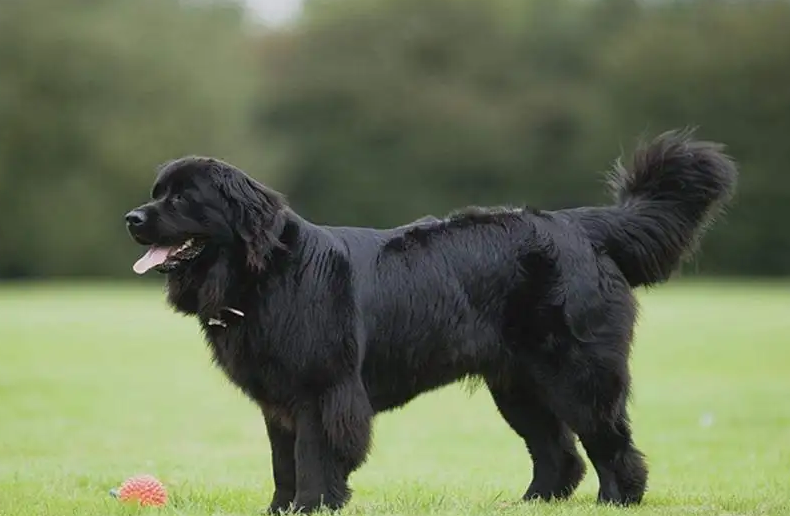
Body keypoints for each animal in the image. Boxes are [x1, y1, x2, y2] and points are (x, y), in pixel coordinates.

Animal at [127, 129, 740, 512]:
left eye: (181, 199)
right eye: (156, 193)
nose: (132, 217)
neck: (263, 275)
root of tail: (579, 226)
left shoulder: (323, 392)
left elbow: (314, 457)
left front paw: (312, 506)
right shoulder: (278, 400)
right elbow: (283, 462)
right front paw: (281, 509)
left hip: (576, 373)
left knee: (610, 442)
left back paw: (617, 501)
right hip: (518, 384)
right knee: (557, 452)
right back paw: (527, 504)